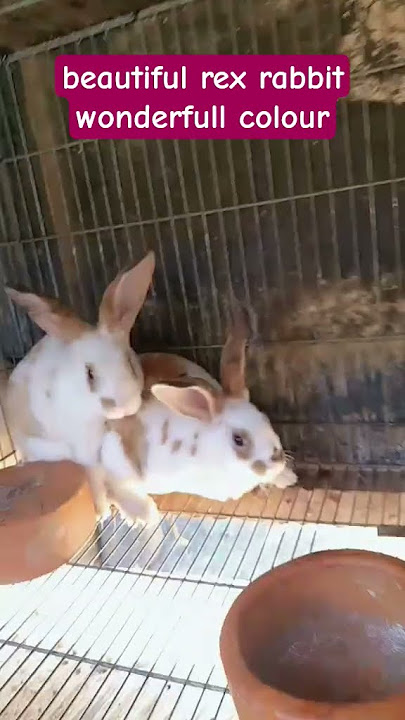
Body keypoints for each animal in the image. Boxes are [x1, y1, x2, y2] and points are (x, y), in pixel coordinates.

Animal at [4, 251, 155, 518]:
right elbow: (93, 476)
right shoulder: (83, 446)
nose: (124, 406)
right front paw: (100, 511)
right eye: (90, 375)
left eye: (130, 362)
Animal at [99, 309, 298, 525]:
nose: (277, 460)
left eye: (266, 419)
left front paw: (288, 477)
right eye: (238, 439)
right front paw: (144, 516)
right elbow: (116, 487)